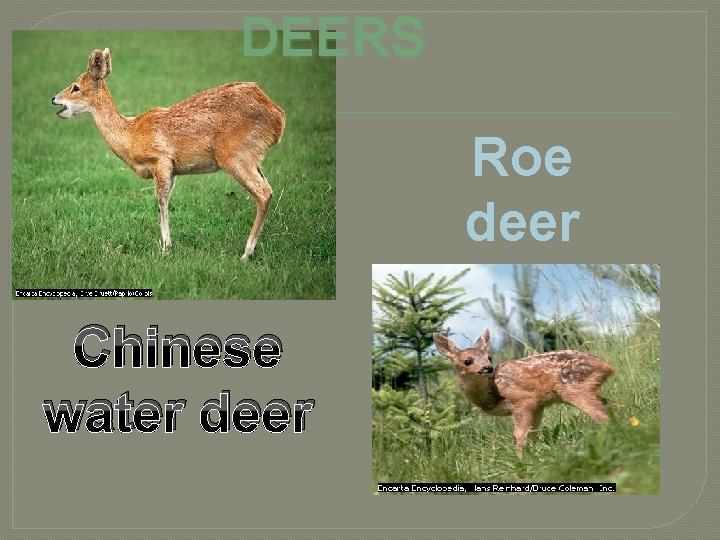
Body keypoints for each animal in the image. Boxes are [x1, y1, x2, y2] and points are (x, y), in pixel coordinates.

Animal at [52, 48, 285, 260]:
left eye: (75, 87)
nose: (54, 98)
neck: (131, 134)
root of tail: (279, 118)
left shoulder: (161, 160)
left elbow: (161, 201)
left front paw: (166, 247)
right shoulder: (173, 170)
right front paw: (166, 245)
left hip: (234, 154)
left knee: (263, 192)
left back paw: (246, 254)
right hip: (252, 157)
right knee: (268, 189)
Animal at [433, 329, 615, 458]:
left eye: (489, 357)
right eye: (467, 361)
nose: (488, 368)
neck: (493, 396)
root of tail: (607, 366)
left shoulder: (524, 400)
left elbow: (519, 435)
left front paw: (520, 462)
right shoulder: (539, 405)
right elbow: (533, 434)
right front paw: (536, 455)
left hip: (575, 388)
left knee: (603, 416)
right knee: (614, 406)